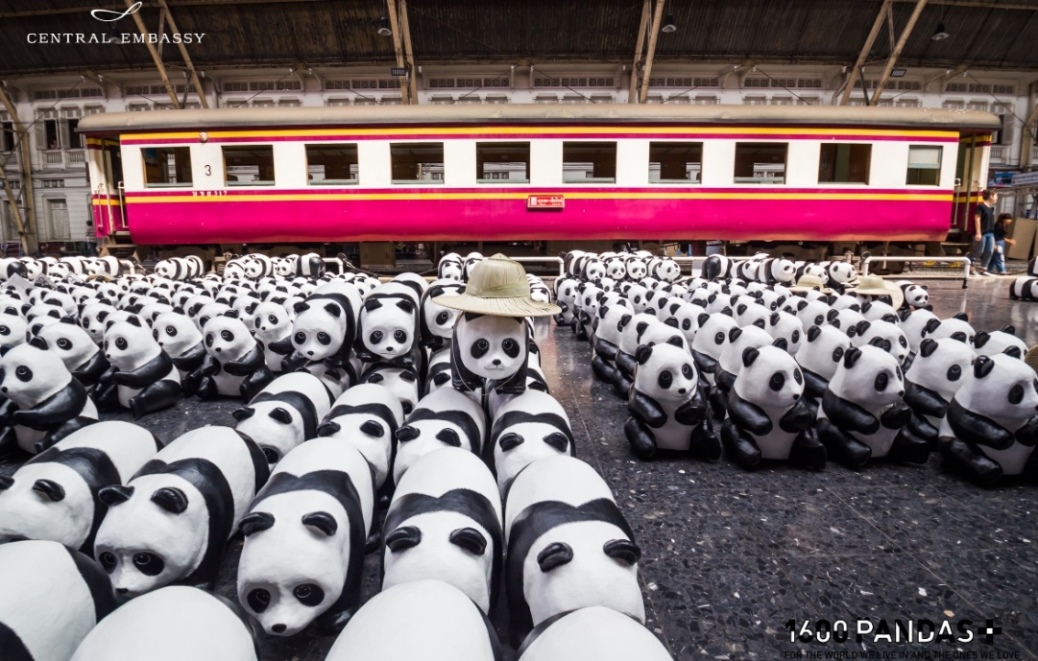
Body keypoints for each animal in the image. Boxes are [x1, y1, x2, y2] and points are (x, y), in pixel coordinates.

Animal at [431, 252, 560, 396]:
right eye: (482, 344)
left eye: (508, 344)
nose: (496, 361)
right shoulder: (458, 334)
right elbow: (459, 362)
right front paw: (466, 385)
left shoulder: (524, 336)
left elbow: (520, 366)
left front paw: (511, 389)